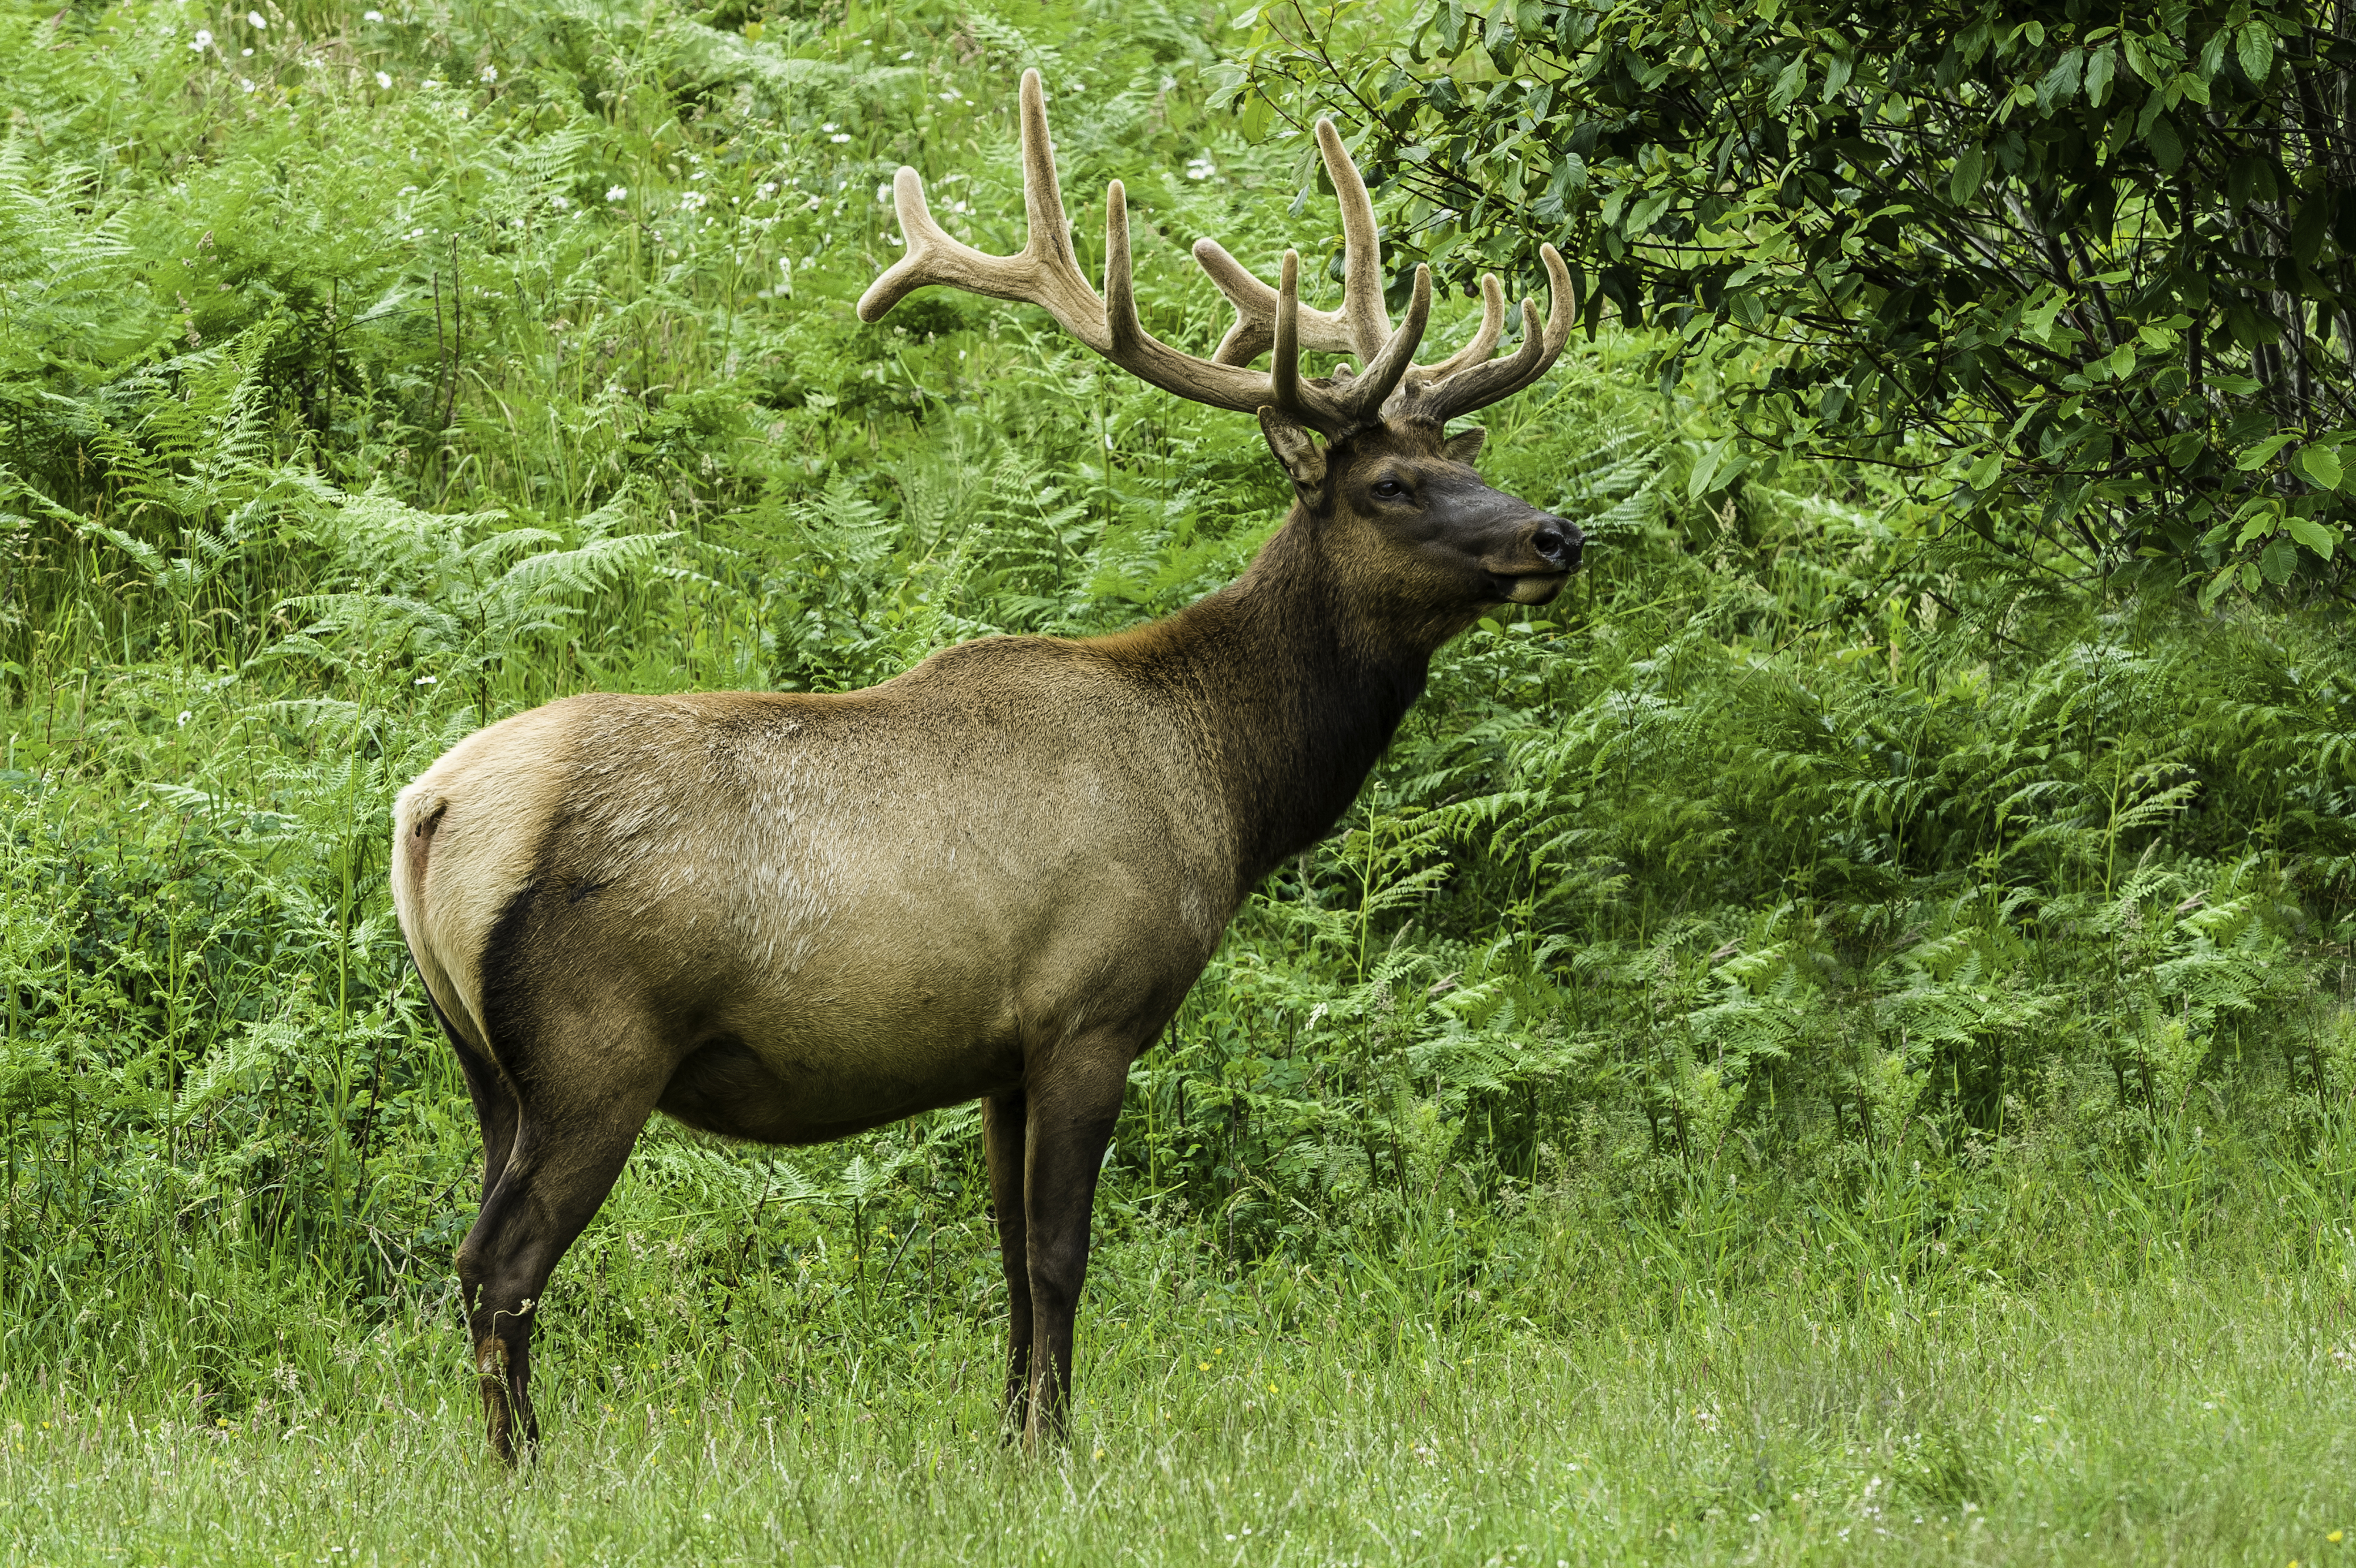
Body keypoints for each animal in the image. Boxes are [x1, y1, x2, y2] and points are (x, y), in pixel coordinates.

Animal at [390, 68, 1580, 1462]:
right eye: (1392, 483)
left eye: (1467, 460)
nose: (1555, 536)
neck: (1228, 786)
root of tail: (430, 810)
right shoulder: (1089, 1009)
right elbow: (1063, 1255)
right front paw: (1054, 1446)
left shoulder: (999, 1052)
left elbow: (1008, 1257)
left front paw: (1011, 1431)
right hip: (594, 1047)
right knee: (500, 1263)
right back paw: (527, 1467)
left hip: (484, 1065)